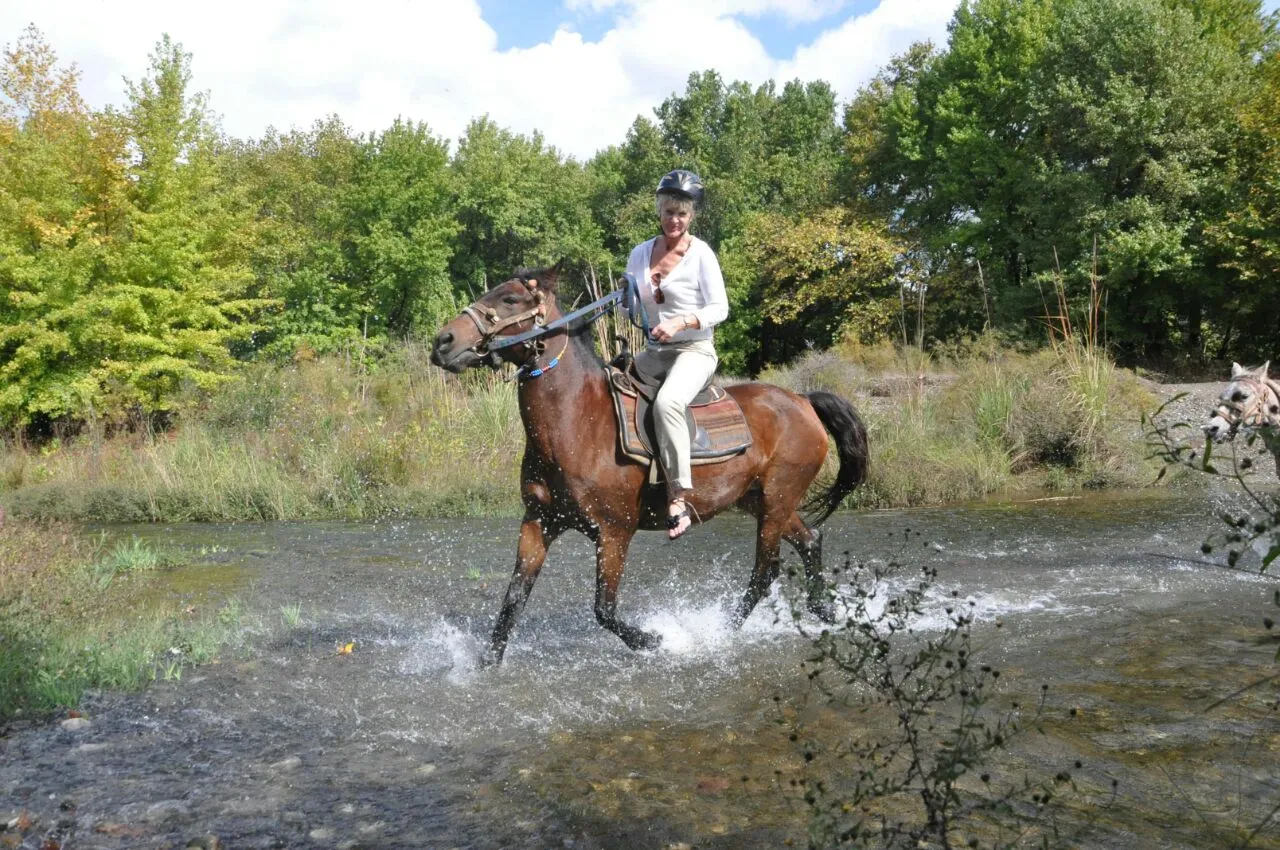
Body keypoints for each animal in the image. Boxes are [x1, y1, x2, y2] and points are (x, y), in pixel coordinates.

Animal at [429, 262, 869, 664]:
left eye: (509, 299)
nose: (443, 341)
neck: (578, 423)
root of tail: (803, 401)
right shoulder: (539, 521)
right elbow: (514, 598)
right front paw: (488, 661)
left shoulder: (614, 532)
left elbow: (604, 609)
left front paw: (655, 641)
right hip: (760, 500)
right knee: (810, 540)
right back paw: (823, 610)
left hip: (777, 500)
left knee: (765, 571)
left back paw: (718, 633)